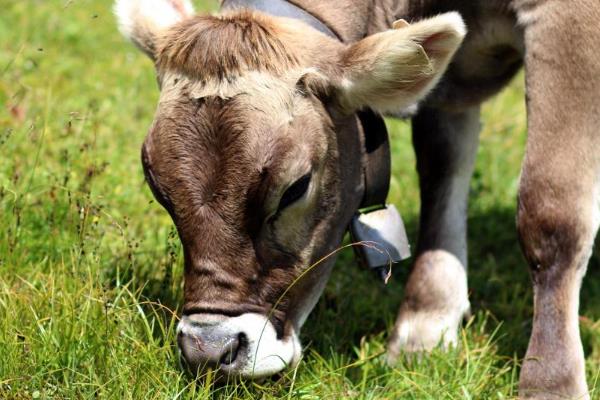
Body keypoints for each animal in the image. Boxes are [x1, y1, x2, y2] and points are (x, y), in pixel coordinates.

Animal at [115, 0, 600, 398]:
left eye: (296, 187)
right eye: (158, 187)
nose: (208, 350)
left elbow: (550, 213)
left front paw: (550, 383)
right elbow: (442, 169)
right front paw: (425, 325)